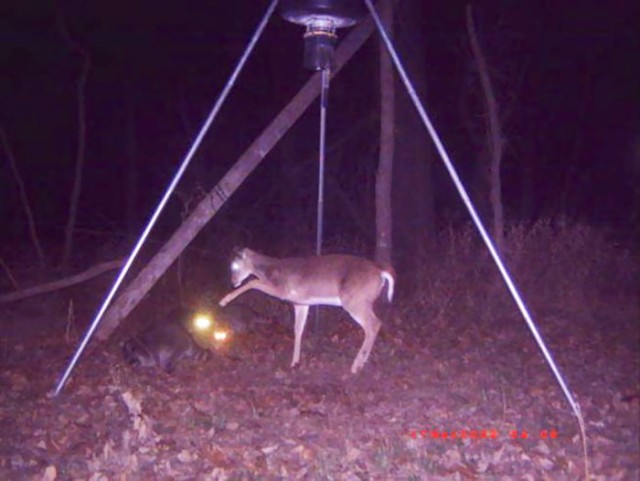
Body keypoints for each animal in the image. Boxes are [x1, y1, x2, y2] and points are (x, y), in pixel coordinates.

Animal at [218, 246, 392, 374]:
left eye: (234, 265)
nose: (233, 282)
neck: (270, 271)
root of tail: (380, 271)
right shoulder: (300, 303)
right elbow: (298, 329)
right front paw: (294, 362)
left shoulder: (283, 290)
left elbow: (253, 282)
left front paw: (224, 301)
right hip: (360, 300)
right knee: (374, 325)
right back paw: (362, 363)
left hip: (354, 300)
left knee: (374, 324)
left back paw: (356, 366)